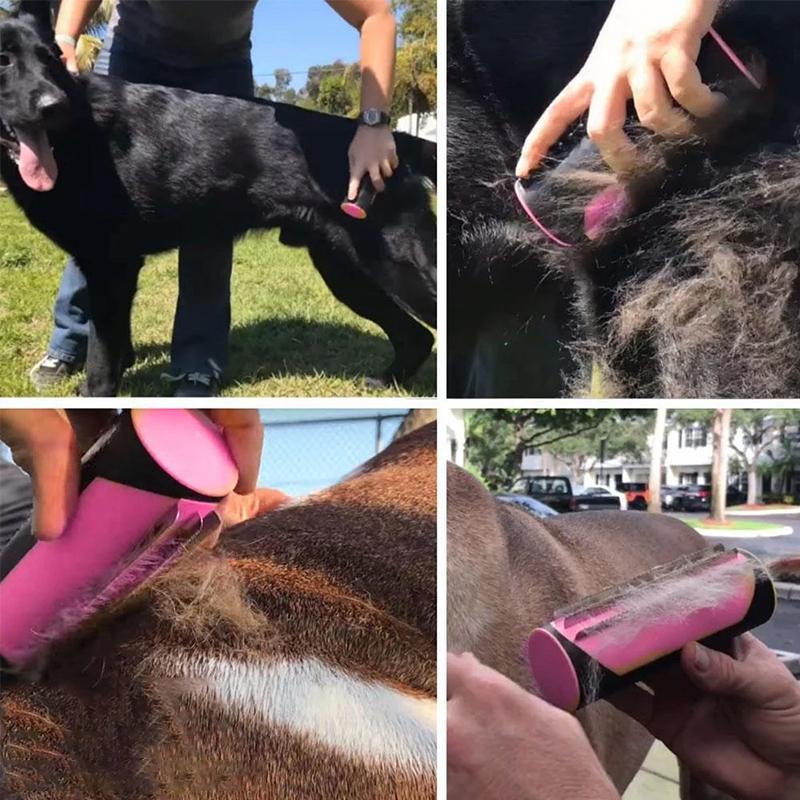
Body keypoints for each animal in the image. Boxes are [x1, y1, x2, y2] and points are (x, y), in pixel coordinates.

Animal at [0, 3, 438, 396]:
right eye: (4, 60)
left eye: (49, 59)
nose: (54, 106)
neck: (78, 135)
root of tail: (396, 142)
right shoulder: (108, 270)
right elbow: (116, 342)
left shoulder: (111, 267)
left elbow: (102, 356)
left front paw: (95, 395)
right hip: (345, 272)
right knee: (416, 336)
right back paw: (385, 382)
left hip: (395, 268)